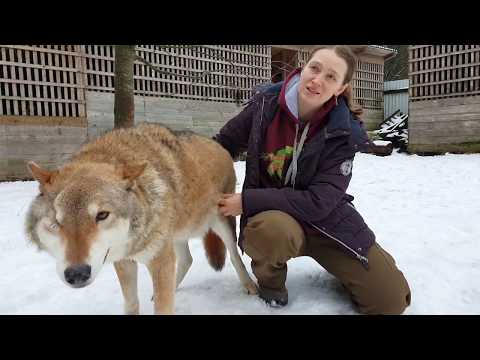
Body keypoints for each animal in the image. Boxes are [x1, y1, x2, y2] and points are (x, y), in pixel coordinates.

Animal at [25, 122, 258, 314]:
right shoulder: (124, 261)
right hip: (175, 235)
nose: (76, 274)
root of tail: (218, 145)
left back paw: (250, 286)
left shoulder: (160, 259)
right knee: (187, 260)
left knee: (234, 256)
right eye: (56, 222)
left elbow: (163, 308)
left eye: (102, 215)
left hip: (221, 223)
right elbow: (132, 304)